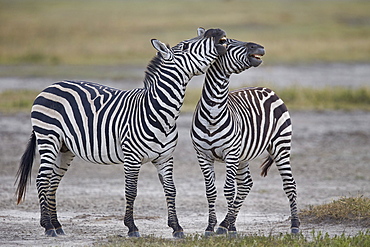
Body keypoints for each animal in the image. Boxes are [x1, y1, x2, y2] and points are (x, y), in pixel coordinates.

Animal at [15, 28, 228, 238]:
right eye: (185, 46)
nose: (217, 32)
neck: (159, 112)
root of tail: (50, 87)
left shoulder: (165, 157)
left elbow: (171, 190)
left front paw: (176, 227)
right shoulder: (132, 157)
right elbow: (131, 191)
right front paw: (132, 227)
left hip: (64, 148)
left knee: (53, 182)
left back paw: (57, 225)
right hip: (48, 139)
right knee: (42, 180)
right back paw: (47, 226)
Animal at [189, 38, 300, 235]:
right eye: (227, 42)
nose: (260, 47)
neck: (212, 113)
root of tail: (268, 89)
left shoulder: (231, 154)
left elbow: (228, 190)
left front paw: (227, 228)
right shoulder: (202, 155)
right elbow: (210, 191)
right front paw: (211, 226)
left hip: (281, 146)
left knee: (290, 184)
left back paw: (294, 225)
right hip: (243, 155)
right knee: (246, 184)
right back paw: (227, 223)